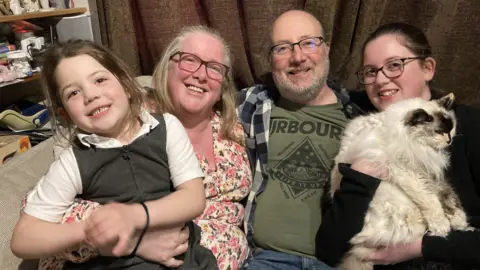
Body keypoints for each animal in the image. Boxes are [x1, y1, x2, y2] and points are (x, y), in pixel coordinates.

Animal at [332, 94, 470, 268]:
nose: (449, 141)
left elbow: (449, 196)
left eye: (451, 128)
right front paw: (442, 226)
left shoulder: (431, 174)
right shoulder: (409, 175)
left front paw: (460, 221)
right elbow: (432, 202)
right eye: (439, 132)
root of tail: (356, 250)